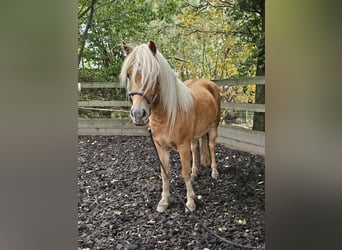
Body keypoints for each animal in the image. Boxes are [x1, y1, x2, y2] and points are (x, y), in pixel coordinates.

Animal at [120, 41, 222, 213]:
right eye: (128, 74)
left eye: (153, 75)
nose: (138, 114)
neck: (167, 115)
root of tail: (210, 84)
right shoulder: (161, 148)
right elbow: (165, 173)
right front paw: (164, 201)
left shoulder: (182, 147)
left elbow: (184, 173)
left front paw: (190, 202)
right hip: (194, 136)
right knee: (195, 149)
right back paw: (196, 173)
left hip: (214, 128)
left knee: (211, 146)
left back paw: (214, 172)